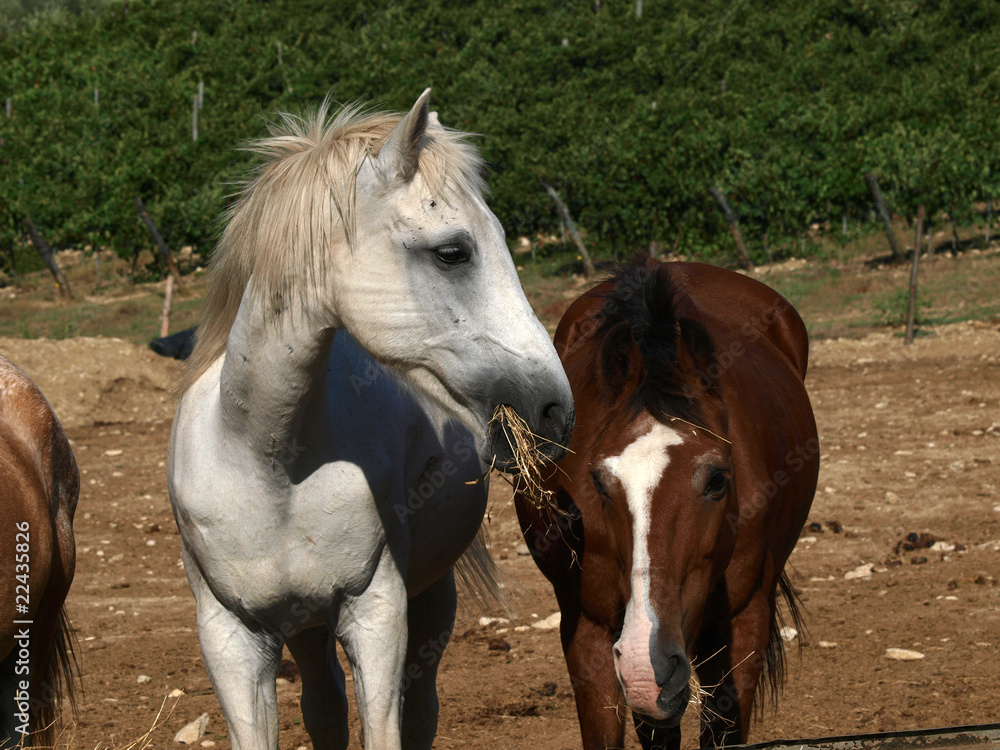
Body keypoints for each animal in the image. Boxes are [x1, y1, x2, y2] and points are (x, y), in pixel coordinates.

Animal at [168, 89, 574, 750]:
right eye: (453, 252)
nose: (554, 409)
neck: (268, 462)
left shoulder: (376, 614)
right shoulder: (230, 639)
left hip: (429, 599)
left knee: (419, 708)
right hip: (305, 628)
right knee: (324, 705)